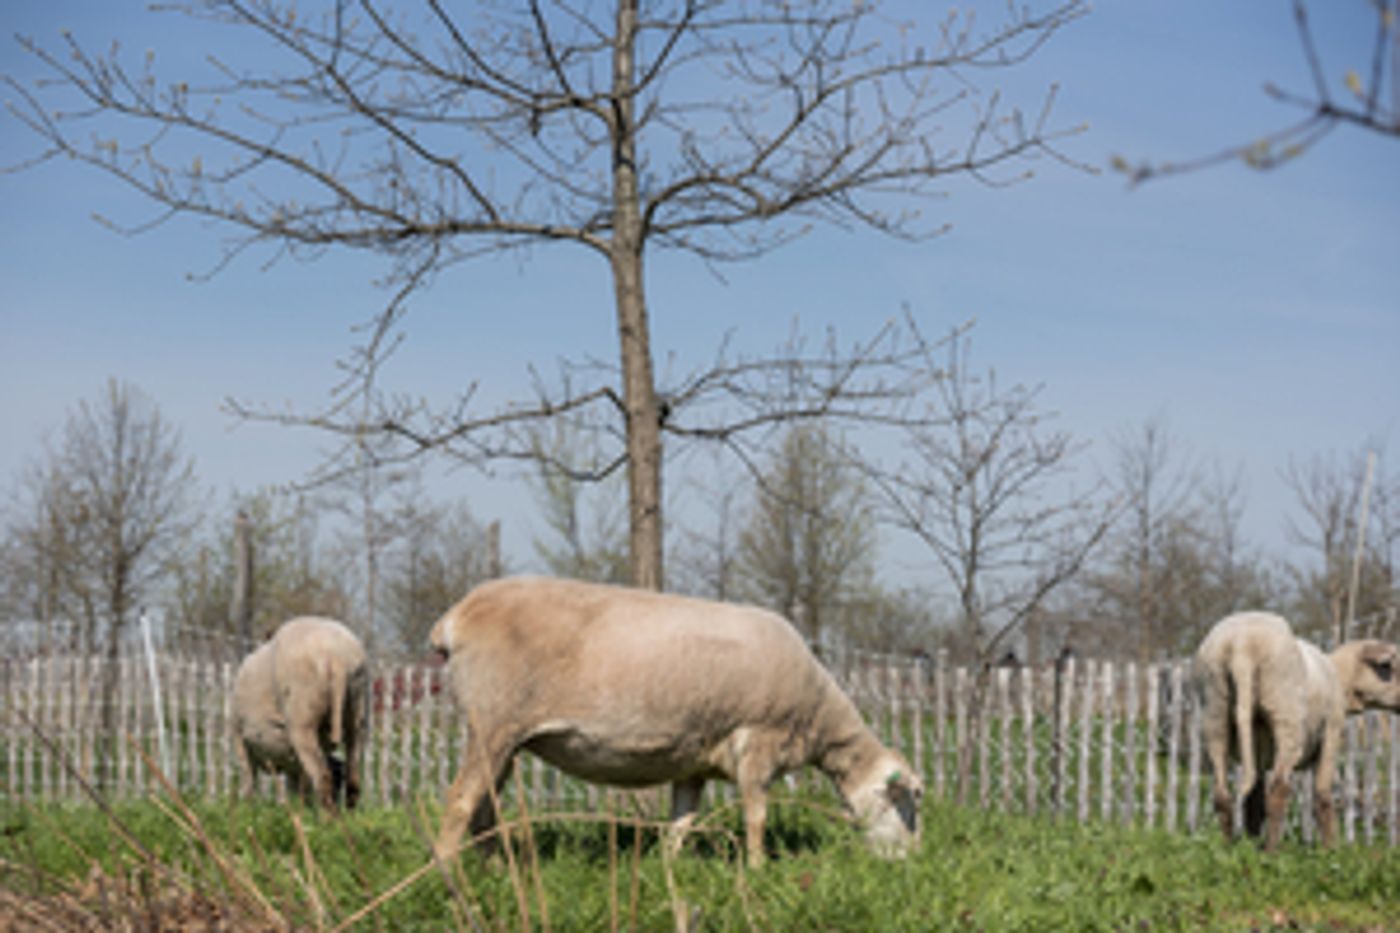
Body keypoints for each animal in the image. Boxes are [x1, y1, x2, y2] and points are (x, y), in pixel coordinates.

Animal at [232, 617, 369, 810]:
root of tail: (335, 657)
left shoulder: (238, 735)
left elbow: (248, 779)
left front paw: (246, 809)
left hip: (302, 717)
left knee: (321, 776)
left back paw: (328, 817)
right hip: (357, 712)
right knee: (353, 777)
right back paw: (348, 815)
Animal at [428, 576, 923, 867]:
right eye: (907, 802)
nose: (914, 862)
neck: (817, 719)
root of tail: (454, 618)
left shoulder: (695, 761)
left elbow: (681, 822)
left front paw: (666, 870)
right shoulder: (758, 743)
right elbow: (757, 816)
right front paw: (758, 869)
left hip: (504, 737)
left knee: (484, 807)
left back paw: (498, 870)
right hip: (494, 721)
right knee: (461, 801)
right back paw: (451, 878)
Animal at [1193, 611, 1400, 849]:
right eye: (1389, 668)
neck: (1340, 677)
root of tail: (1241, 645)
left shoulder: (1258, 751)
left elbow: (1254, 802)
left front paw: (1251, 842)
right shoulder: (1332, 730)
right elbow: (1322, 795)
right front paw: (1331, 849)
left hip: (1215, 713)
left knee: (1222, 794)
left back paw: (1228, 847)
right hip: (1286, 715)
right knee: (1278, 789)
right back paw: (1271, 851)